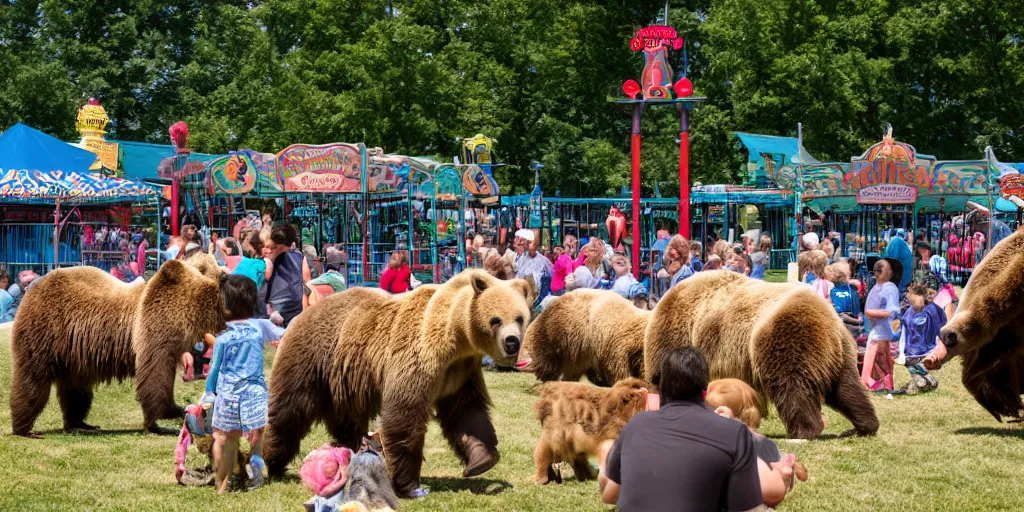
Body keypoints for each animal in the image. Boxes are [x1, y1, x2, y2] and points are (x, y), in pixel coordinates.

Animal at [10, 256, 224, 436]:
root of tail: (32, 289)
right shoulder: (157, 329)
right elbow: (156, 375)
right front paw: (169, 416)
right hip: (44, 332)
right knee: (33, 379)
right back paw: (24, 428)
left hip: (73, 354)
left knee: (76, 389)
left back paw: (81, 424)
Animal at [264, 270, 536, 497]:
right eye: (496, 320)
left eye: (519, 318)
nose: (512, 342)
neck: (455, 338)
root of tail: (304, 311)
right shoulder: (418, 358)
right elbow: (405, 413)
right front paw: (408, 483)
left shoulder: (460, 372)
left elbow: (467, 412)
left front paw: (481, 460)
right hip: (311, 358)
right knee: (291, 409)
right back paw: (275, 463)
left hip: (345, 380)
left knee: (347, 421)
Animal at [643, 270, 876, 438]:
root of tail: (829, 317)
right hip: (840, 352)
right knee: (846, 388)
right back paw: (863, 426)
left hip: (785, 336)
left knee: (792, 386)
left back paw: (802, 432)